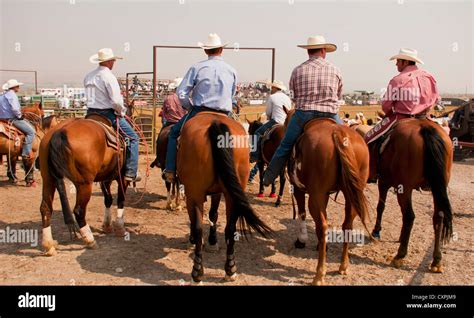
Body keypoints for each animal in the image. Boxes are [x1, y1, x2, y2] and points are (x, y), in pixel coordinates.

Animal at [37, 114, 131, 256]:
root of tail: (59, 131)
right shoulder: (122, 178)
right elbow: (120, 200)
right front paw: (120, 227)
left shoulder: (105, 179)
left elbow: (108, 199)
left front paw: (107, 225)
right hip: (84, 184)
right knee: (79, 211)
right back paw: (90, 240)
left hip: (48, 180)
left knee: (46, 208)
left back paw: (49, 246)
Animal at [178, 112, 272, 284]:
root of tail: (215, 122)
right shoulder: (217, 192)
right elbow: (213, 215)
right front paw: (213, 241)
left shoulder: (191, 194)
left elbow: (198, 220)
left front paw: (196, 240)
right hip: (231, 194)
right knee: (230, 228)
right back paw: (230, 269)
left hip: (195, 192)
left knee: (199, 227)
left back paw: (197, 273)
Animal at [284, 110, 372, 284]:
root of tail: (338, 133)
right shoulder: (324, 195)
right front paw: (320, 246)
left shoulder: (299, 189)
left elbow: (302, 213)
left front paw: (301, 240)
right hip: (350, 195)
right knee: (347, 225)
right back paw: (343, 266)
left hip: (315, 196)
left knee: (323, 227)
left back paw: (319, 274)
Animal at [368, 119, 454, 274]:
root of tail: (425, 127)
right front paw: (401, 237)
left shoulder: (383, 182)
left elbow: (381, 207)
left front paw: (376, 231)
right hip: (437, 188)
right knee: (438, 217)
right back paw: (436, 260)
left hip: (405, 187)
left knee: (409, 216)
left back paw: (399, 256)